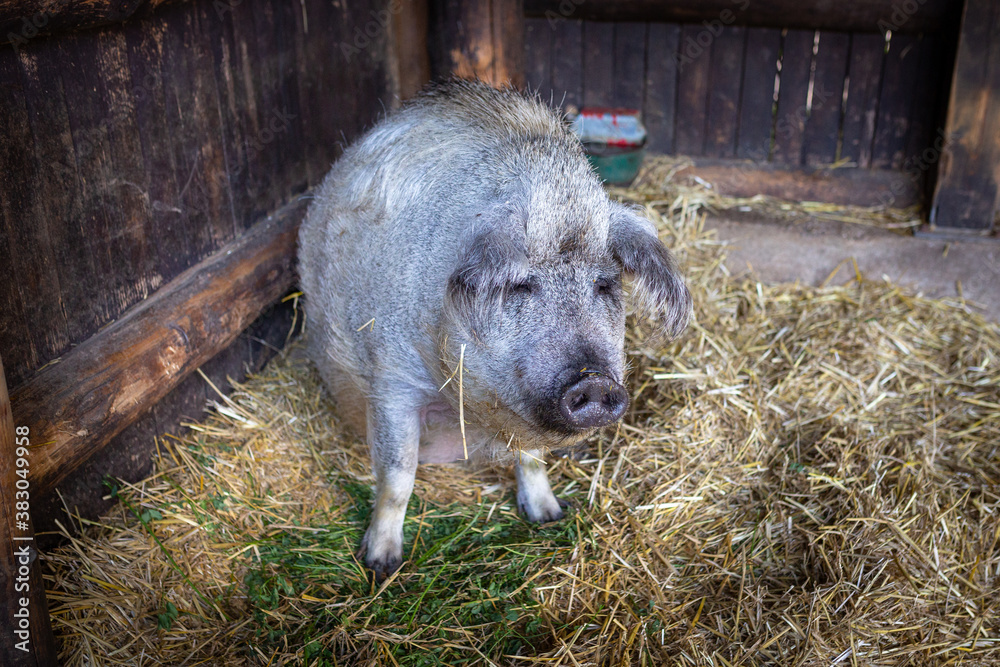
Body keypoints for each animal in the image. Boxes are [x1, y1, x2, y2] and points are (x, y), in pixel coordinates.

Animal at [294, 79, 688, 580]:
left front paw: (549, 517)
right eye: (520, 284)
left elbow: (532, 458)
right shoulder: (392, 381)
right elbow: (398, 477)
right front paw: (381, 565)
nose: (595, 382)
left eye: (604, 284)